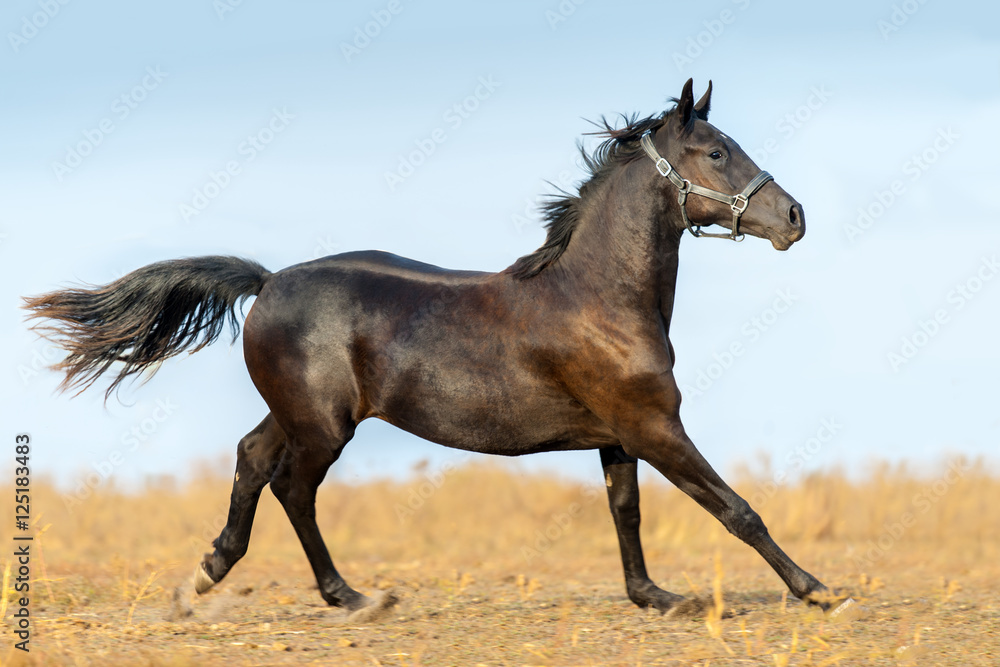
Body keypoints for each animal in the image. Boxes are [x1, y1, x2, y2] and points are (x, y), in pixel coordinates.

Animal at [24, 79, 844, 618]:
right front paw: (819, 590)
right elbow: (735, 508)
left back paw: (206, 574)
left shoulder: (619, 434)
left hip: (298, 412)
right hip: (324, 427)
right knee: (292, 487)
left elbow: (627, 512)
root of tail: (267, 281)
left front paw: (656, 596)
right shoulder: (654, 426)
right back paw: (352, 596)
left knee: (251, 459)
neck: (598, 296)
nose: (794, 217)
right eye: (715, 151)